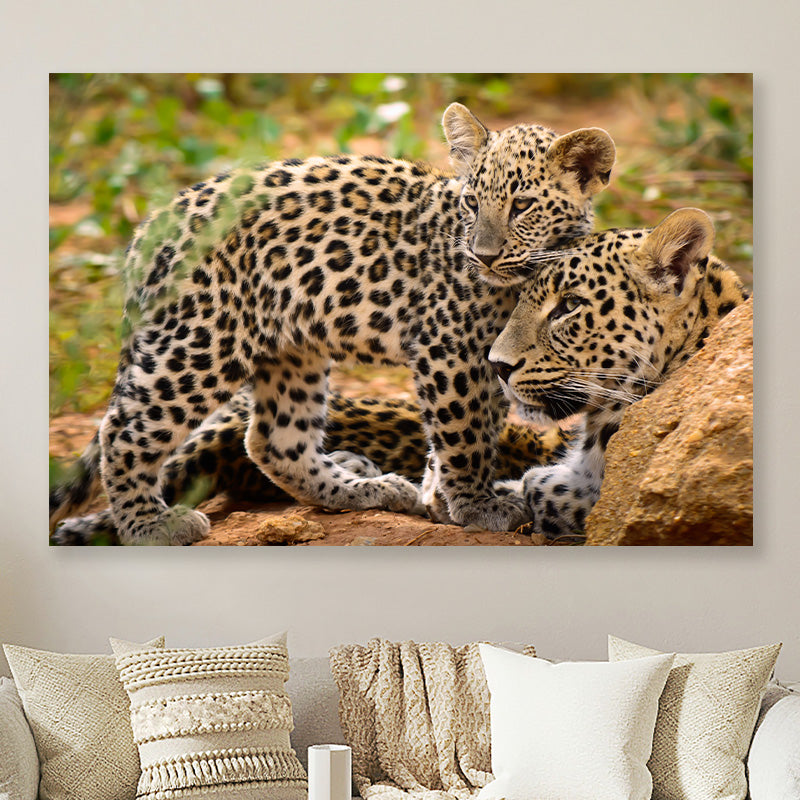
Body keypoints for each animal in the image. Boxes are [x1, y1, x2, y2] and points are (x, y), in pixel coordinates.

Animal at [50, 102, 615, 544]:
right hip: (201, 340)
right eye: (472, 203)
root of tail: (150, 225)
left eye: (523, 205)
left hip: (290, 349)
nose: (483, 255)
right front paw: (477, 505)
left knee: (272, 441)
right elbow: (465, 430)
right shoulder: (451, 348)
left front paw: (437, 496)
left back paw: (363, 489)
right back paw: (150, 525)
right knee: (122, 429)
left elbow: (471, 427)